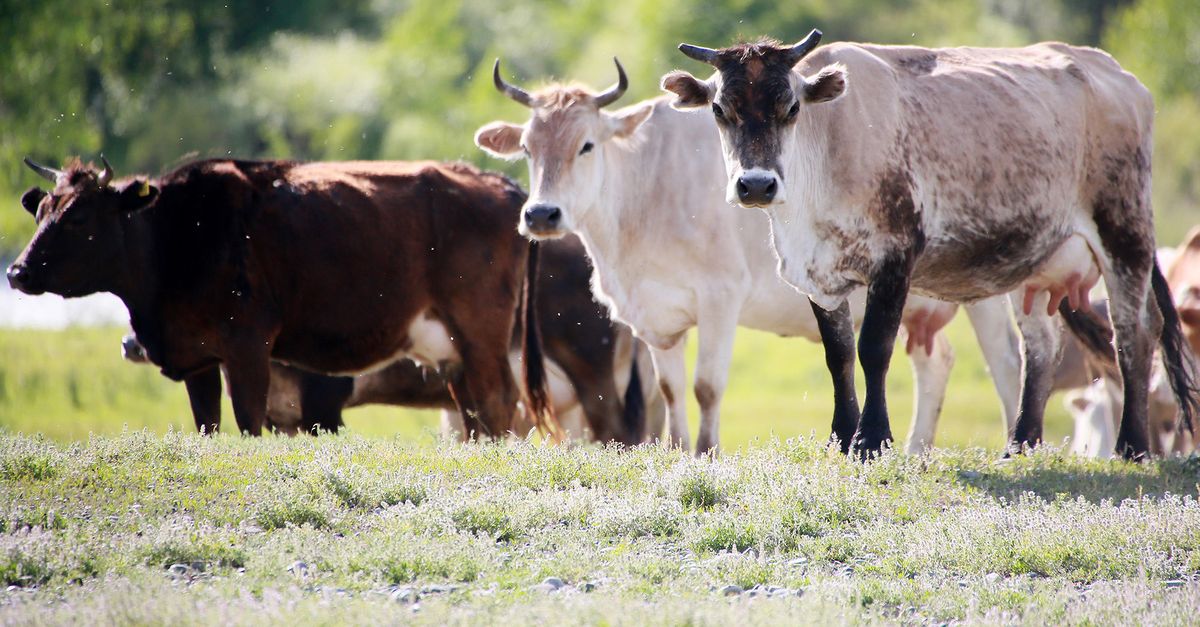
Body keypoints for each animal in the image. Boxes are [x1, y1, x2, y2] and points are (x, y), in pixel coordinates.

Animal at [8, 158, 549, 437]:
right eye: (43, 211)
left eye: (79, 216)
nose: (16, 271)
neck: (175, 235)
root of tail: (502, 186)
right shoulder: (198, 358)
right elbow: (208, 425)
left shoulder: (248, 347)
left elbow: (248, 421)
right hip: (452, 351)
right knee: (475, 410)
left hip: (480, 332)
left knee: (499, 402)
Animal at [472, 58, 1027, 451]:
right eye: (527, 149)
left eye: (586, 145)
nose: (542, 214)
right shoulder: (653, 317)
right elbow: (671, 391)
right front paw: (678, 452)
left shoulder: (720, 296)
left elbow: (706, 387)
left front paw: (707, 453)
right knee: (935, 362)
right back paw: (916, 450)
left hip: (982, 288)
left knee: (1005, 361)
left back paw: (1011, 445)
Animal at [662, 29, 1195, 456]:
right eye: (719, 109)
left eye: (790, 107)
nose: (755, 185)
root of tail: (1116, 74)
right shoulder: (817, 274)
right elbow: (838, 355)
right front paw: (840, 437)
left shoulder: (895, 257)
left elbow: (874, 347)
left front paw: (872, 439)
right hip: (1036, 263)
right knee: (1040, 346)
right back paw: (1020, 445)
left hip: (1124, 232)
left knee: (1133, 333)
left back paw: (1132, 446)